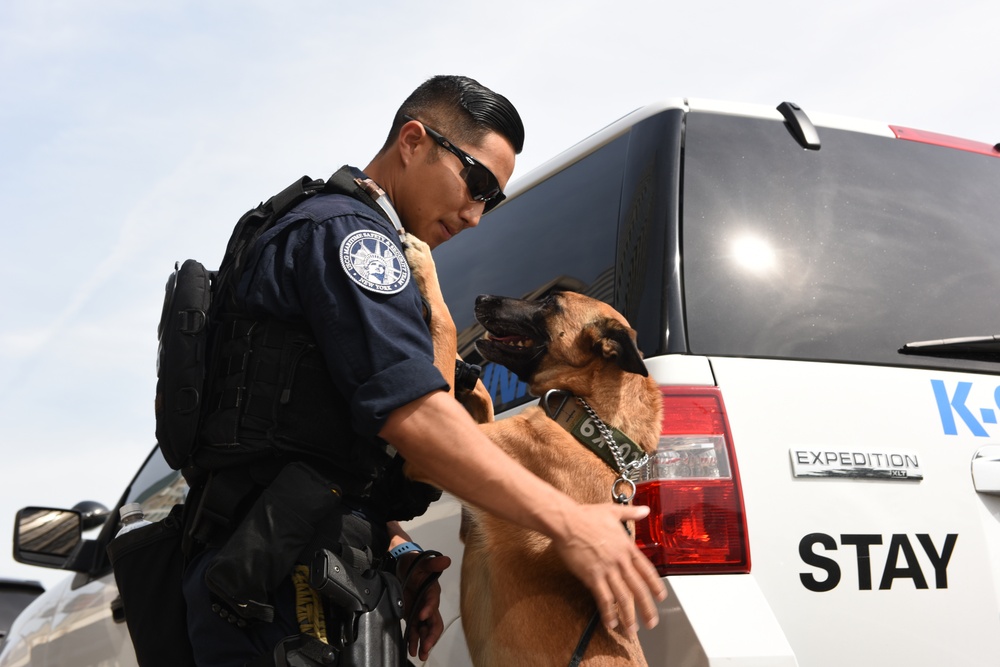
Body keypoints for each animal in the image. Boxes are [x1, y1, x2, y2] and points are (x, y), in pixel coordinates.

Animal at [402, 237, 660, 664]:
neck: (590, 427)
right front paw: (469, 378)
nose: (480, 297)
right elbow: (480, 400)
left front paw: (425, 266)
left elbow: (447, 327)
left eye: (550, 302)